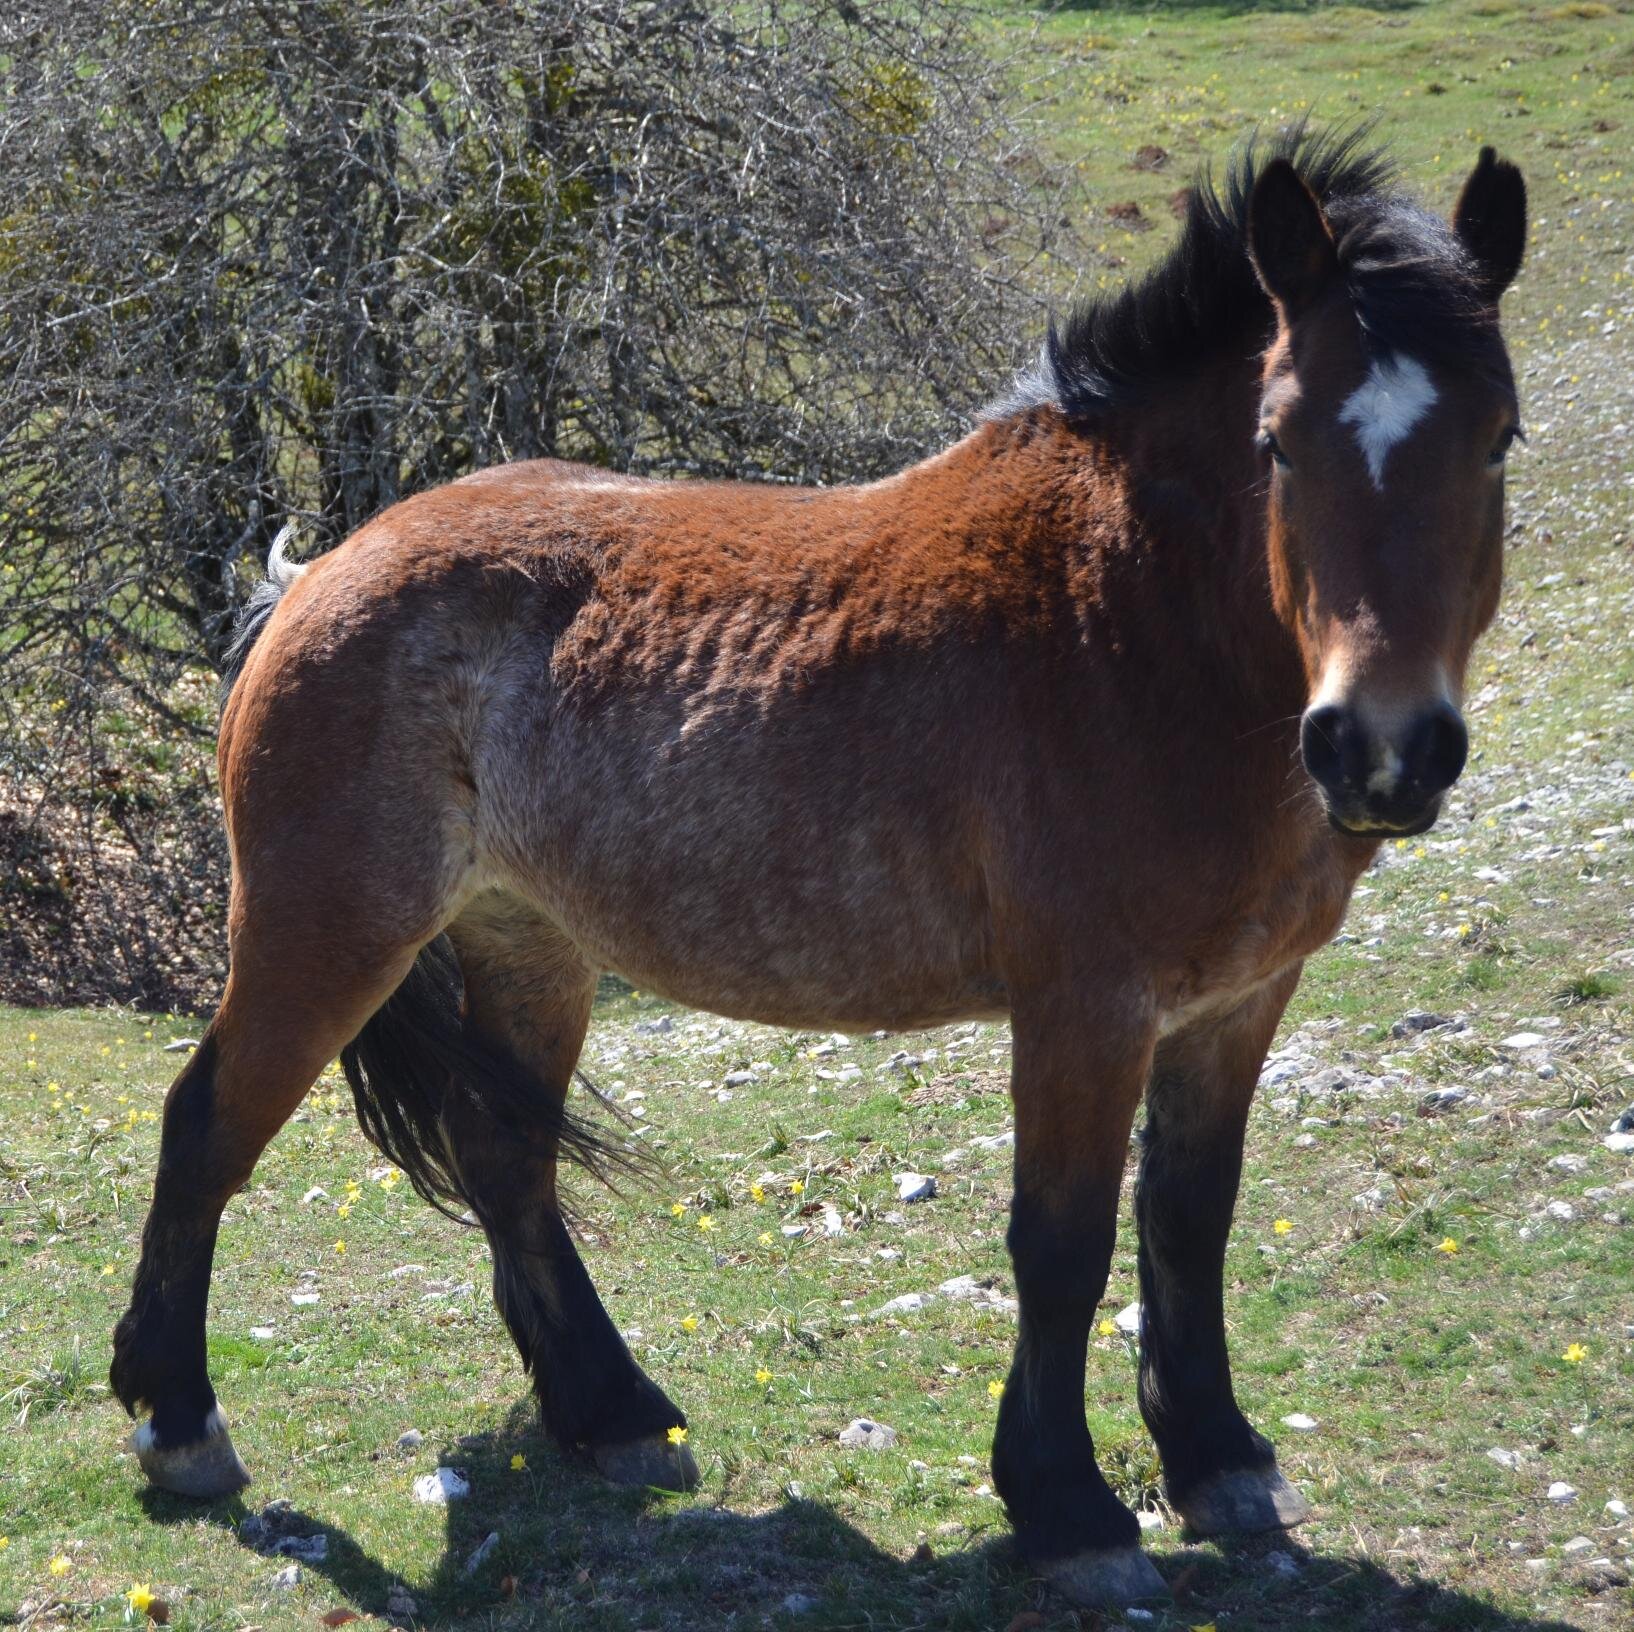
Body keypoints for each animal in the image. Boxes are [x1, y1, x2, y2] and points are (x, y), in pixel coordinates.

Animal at [108, 130, 1522, 1607]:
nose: (1381, 748)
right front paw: (1068, 1508)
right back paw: (182, 1425)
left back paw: (611, 1415)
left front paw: (1215, 1461)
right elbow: (1063, 1243)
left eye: (1497, 436)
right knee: (206, 1130)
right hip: (327, 933)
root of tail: (318, 575)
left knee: (506, 1158)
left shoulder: (1236, 1002)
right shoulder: (1084, 1007)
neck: (1130, 621)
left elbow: (1188, 1219)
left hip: (525, 944)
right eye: (1275, 441)